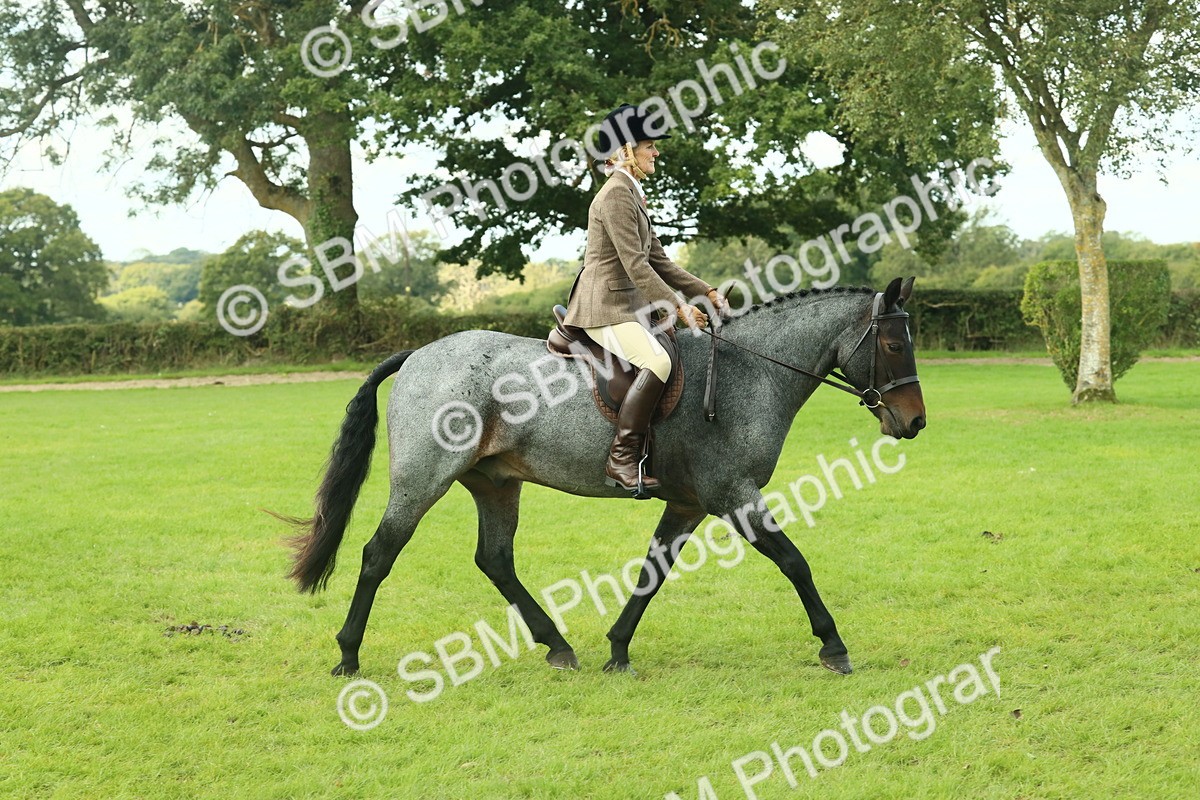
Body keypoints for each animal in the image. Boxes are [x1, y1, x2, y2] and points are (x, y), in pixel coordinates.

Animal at [282, 277, 925, 677]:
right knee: (378, 554)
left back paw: (557, 646)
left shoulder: (689, 504)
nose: (914, 421)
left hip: (496, 483)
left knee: (495, 560)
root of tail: (418, 355)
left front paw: (617, 649)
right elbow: (794, 562)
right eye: (895, 344)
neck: (749, 373)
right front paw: (834, 646)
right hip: (423, 480)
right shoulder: (733, 495)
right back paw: (348, 655)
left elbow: (652, 573)